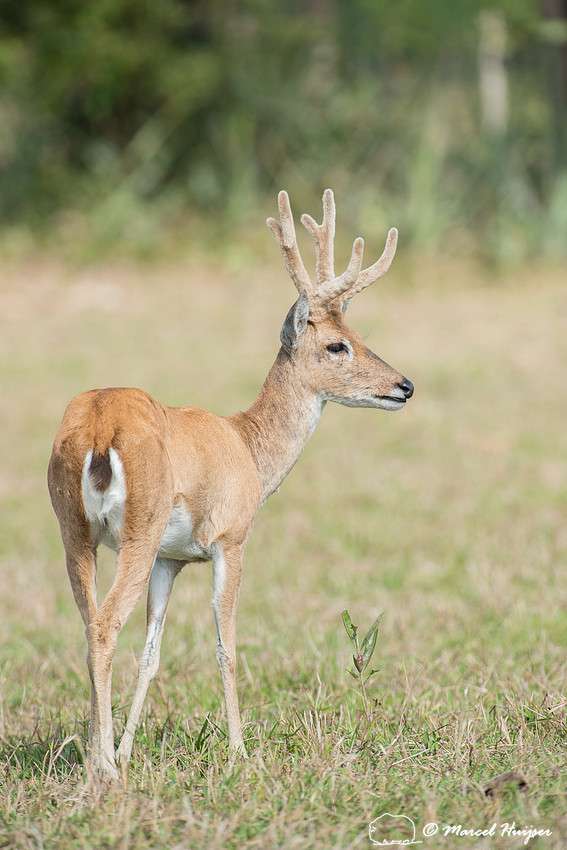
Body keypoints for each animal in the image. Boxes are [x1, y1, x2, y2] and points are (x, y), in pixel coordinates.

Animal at [47, 189, 414, 781]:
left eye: (360, 336)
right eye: (338, 346)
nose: (404, 385)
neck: (251, 451)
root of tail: (101, 429)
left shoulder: (171, 558)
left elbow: (152, 652)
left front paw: (127, 748)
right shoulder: (231, 537)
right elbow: (227, 647)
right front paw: (240, 751)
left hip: (73, 529)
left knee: (89, 623)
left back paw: (99, 756)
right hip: (139, 526)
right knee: (104, 627)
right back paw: (103, 769)